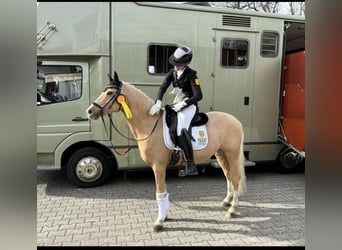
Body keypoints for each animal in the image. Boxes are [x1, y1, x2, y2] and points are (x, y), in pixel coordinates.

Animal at [85, 71, 246, 231]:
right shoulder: (161, 167)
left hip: (232, 154)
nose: (90, 111)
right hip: (221, 154)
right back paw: (227, 201)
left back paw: (232, 209)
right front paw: (165, 215)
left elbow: (160, 192)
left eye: (110, 92)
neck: (149, 124)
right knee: (228, 176)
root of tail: (236, 121)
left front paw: (159, 221)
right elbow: (164, 191)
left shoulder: (158, 166)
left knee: (235, 177)